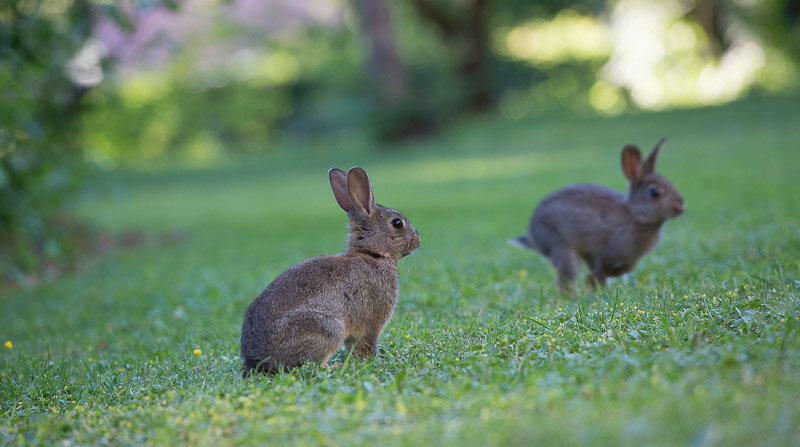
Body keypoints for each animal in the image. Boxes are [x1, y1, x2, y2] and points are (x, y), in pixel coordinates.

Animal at [241, 166, 422, 376]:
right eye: (397, 223)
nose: (418, 241)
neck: (372, 253)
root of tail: (257, 360)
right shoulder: (371, 323)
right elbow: (367, 345)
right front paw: (371, 362)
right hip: (328, 328)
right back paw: (335, 367)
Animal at [512, 140, 680, 294]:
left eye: (671, 183)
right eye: (655, 192)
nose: (680, 206)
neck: (635, 215)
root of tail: (533, 235)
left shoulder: (629, 259)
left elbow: (624, 269)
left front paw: (595, 283)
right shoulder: (606, 252)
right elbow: (604, 269)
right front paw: (591, 281)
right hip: (561, 248)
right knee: (565, 280)